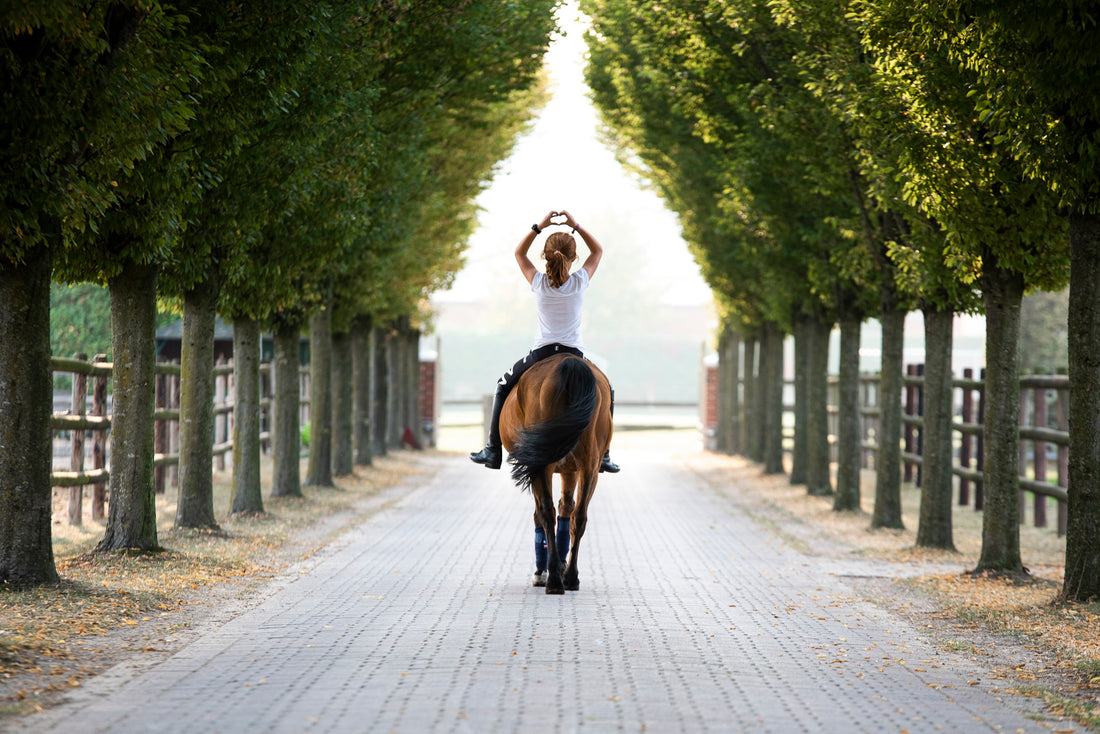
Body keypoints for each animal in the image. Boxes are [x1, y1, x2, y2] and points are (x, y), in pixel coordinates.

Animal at [499, 352, 611, 598]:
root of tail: (570, 364)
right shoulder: (571, 470)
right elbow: (567, 509)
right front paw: (560, 565)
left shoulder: (540, 468)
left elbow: (541, 514)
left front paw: (546, 570)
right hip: (589, 467)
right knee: (579, 517)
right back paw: (570, 577)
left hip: (542, 465)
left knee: (546, 513)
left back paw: (553, 580)